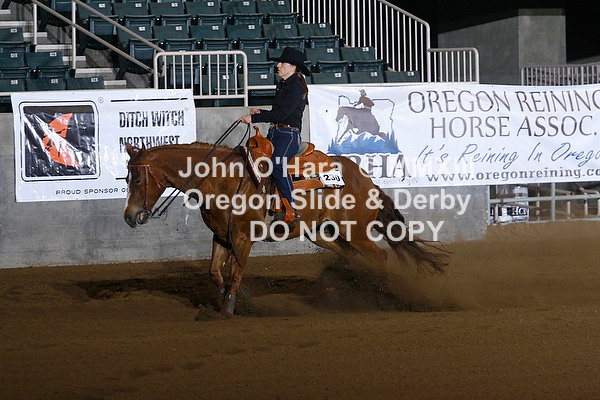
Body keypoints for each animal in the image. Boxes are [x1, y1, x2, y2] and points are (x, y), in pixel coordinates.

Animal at [123, 140, 448, 318]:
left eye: (137, 179)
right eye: (126, 179)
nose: (129, 216)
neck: (221, 178)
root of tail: (365, 180)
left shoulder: (243, 239)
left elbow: (235, 274)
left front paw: (228, 311)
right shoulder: (221, 237)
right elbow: (216, 273)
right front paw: (240, 300)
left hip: (355, 231)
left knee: (379, 257)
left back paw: (385, 295)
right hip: (322, 233)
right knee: (352, 256)